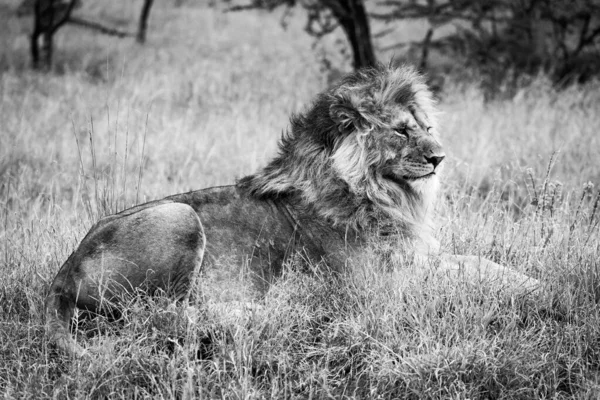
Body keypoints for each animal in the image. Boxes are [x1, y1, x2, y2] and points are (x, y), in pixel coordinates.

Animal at [44, 65, 536, 356]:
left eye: (427, 127)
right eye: (400, 131)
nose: (440, 158)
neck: (383, 195)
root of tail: (61, 276)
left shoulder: (414, 257)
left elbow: (477, 261)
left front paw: (531, 281)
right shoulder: (379, 288)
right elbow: (460, 274)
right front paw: (530, 288)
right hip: (177, 216)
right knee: (156, 316)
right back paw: (268, 313)